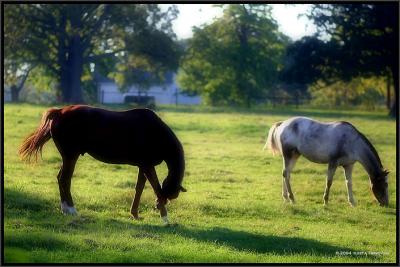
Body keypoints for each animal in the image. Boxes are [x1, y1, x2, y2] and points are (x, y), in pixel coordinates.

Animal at [18, 104, 186, 224]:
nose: (157, 205)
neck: (155, 132)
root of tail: (60, 111)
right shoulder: (148, 166)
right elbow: (156, 188)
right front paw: (165, 218)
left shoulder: (143, 166)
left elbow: (139, 188)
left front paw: (135, 214)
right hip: (71, 156)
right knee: (64, 179)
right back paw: (71, 210)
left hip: (68, 157)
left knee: (61, 178)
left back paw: (65, 209)